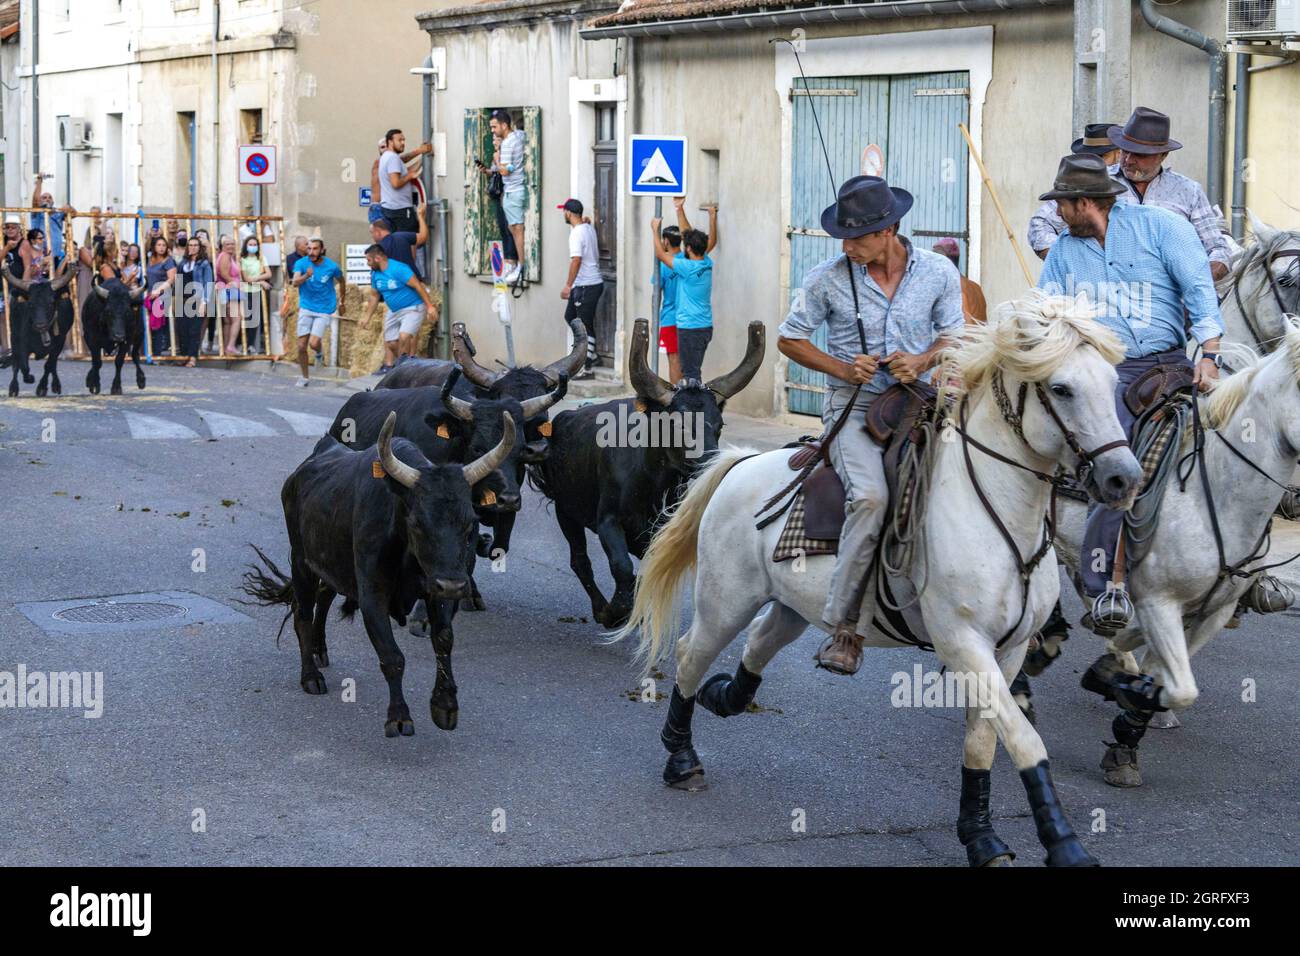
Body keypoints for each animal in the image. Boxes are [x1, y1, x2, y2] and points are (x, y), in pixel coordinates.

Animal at [533, 319, 764, 629]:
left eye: (719, 424)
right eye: (676, 424)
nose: (710, 462)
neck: (650, 480)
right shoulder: (608, 521)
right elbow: (621, 567)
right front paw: (616, 611)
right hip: (566, 511)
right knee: (580, 561)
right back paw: (601, 609)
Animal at [616, 295, 1138, 868]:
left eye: (1111, 382)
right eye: (1062, 388)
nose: (1124, 479)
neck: (998, 513)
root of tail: (741, 463)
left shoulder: (1008, 650)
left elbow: (983, 742)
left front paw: (981, 836)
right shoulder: (964, 644)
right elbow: (1024, 741)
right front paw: (1065, 845)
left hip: (792, 608)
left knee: (756, 645)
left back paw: (723, 695)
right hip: (724, 600)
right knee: (692, 654)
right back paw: (682, 757)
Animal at [1050, 325, 1300, 790]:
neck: (1213, 490)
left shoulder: (1215, 611)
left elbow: (1167, 677)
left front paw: (1128, 703)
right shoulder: (1159, 601)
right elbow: (1179, 686)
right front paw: (1118, 699)